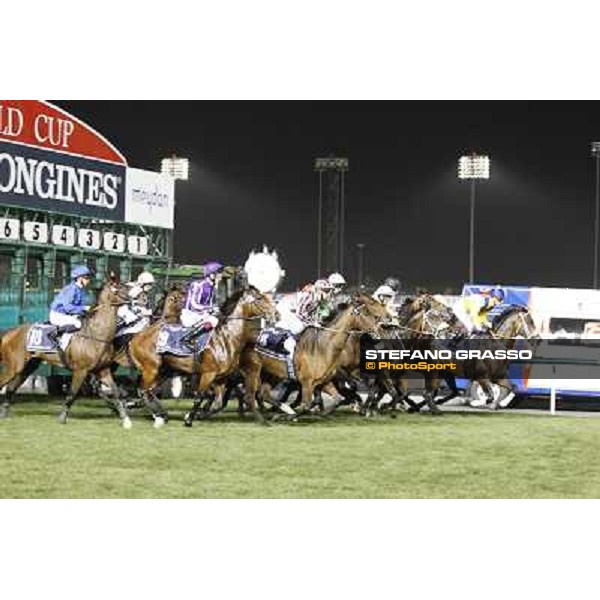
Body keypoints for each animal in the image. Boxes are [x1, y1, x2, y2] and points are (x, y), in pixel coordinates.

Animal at [0, 276, 132, 426]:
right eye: (119, 287)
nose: (135, 299)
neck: (96, 334)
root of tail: (9, 332)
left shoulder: (103, 370)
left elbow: (116, 392)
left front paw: (125, 419)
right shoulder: (81, 371)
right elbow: (72, 394)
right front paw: (62, 417)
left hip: (27, 367)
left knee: (11, 388)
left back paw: (4, 413)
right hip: (13, 367)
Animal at [127, 288, 280, 424]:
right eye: (259, 298)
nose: (276, 313)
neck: (227, 338)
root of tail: (135, 338)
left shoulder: (221, 378)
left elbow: (217, 402)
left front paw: (195, 415)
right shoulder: (208, 374)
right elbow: (200, 396)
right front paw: (189, 419)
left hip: (162, 371)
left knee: (147, 391)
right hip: (151, 369)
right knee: (144, 391)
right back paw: (157, 414)